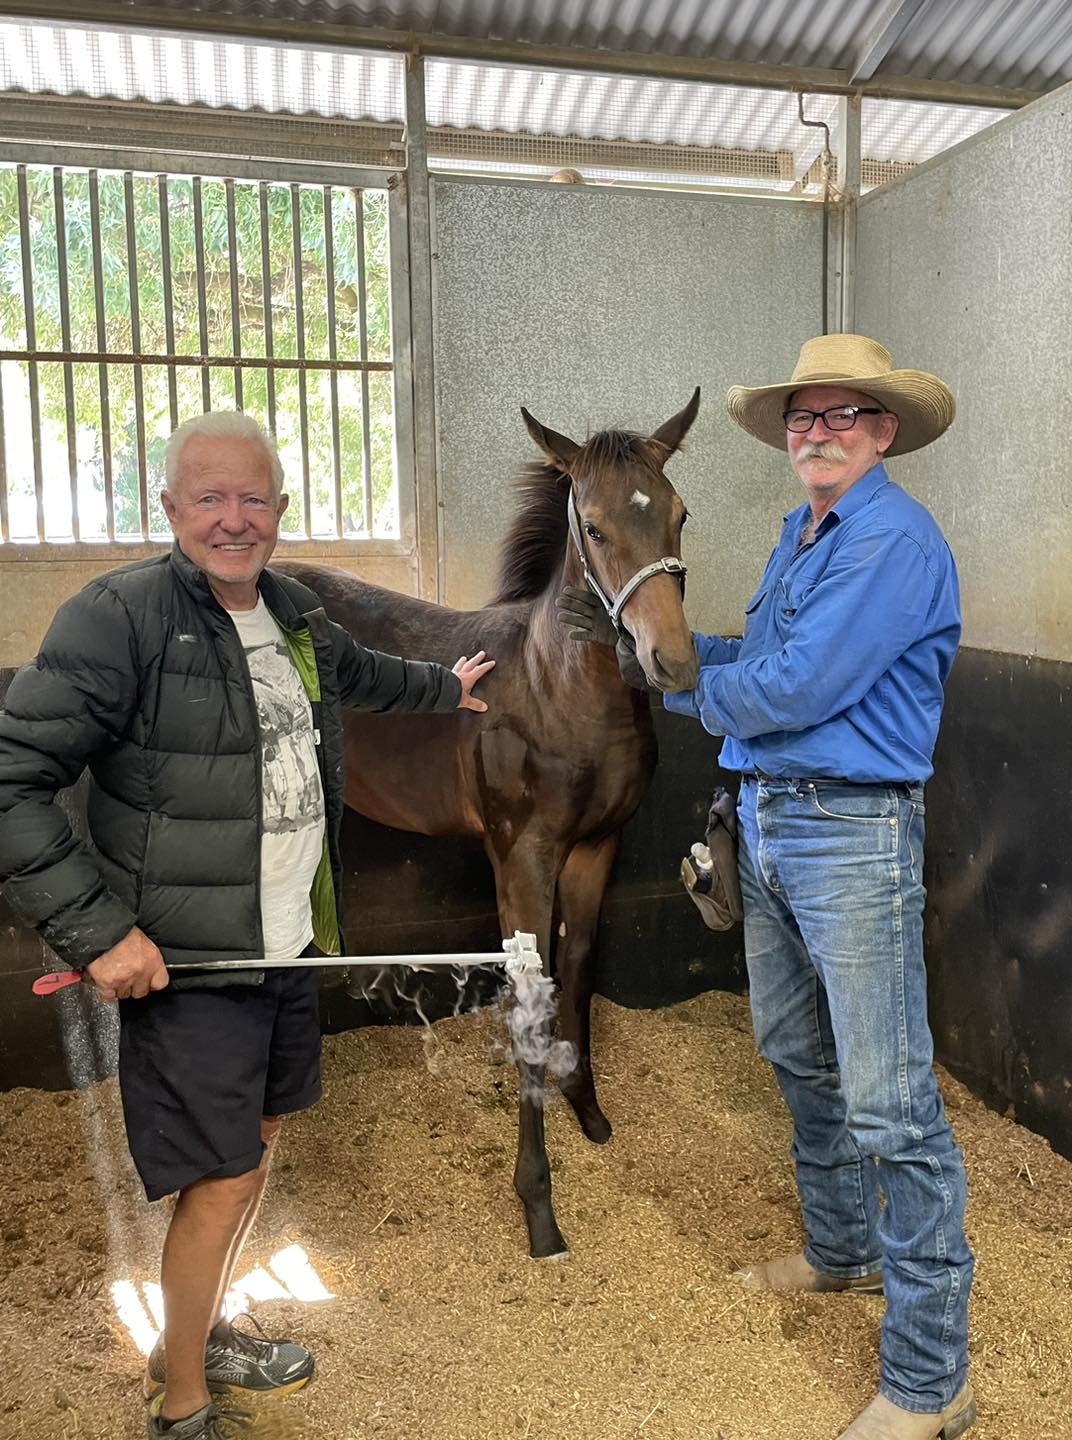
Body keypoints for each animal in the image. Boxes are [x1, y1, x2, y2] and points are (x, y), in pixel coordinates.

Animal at [276, 389, 701, 1259]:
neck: (556, 692)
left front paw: (587, 1106)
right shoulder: (522, 859)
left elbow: (578, 969)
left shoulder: (596, 850)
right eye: (594, 528)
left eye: (680, 516)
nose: (672, 662)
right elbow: (530, 992)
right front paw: (539, 1207)